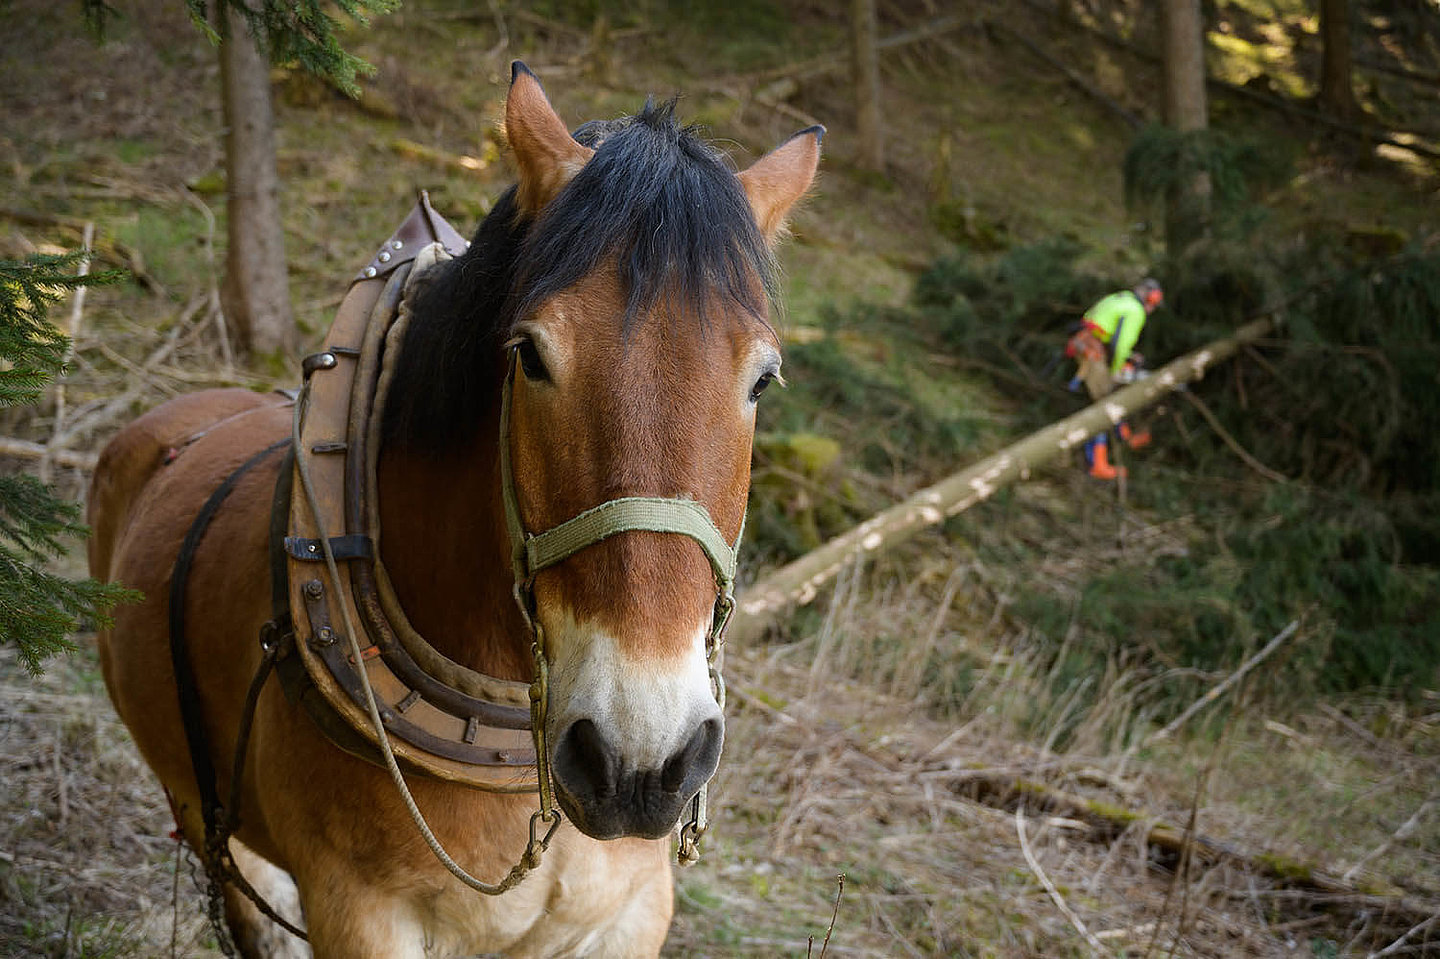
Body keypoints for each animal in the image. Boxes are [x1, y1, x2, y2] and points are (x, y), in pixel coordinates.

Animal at [92, 63, 823, 950]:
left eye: (762, 379)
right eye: (531, 356)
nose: (639, 761)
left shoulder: (631, 912)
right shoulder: (359, 911)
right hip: (202, 813)